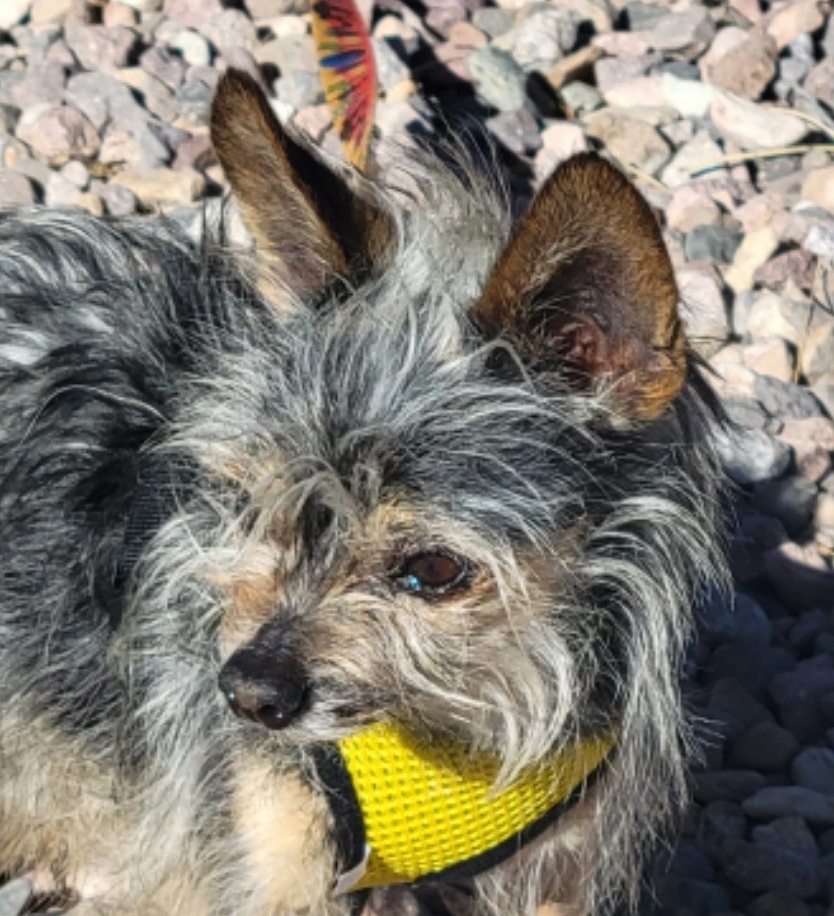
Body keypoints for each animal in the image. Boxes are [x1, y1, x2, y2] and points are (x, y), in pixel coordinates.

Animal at [0, 71, 720, 916]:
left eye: (433, 570)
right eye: (248, 508)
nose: (246, 693)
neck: (452, 724)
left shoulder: (557, 871)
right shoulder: (271, 858)